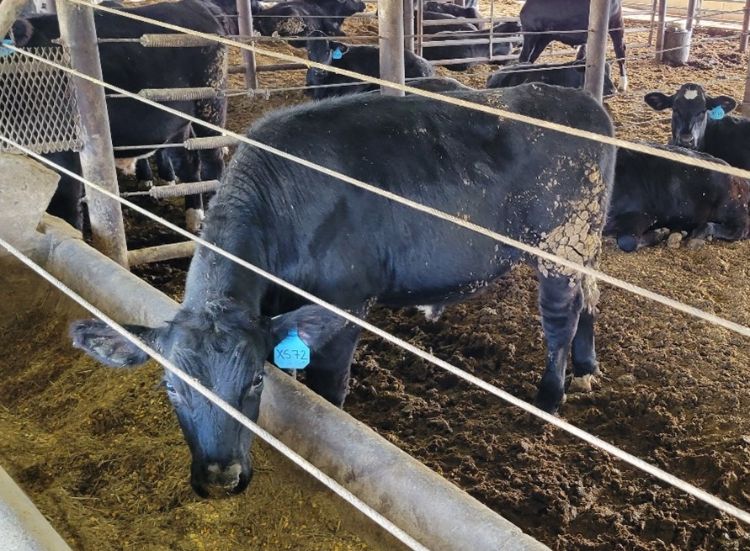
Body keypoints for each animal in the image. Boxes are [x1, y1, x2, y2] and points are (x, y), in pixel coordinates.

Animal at [8, 0, 228, 232]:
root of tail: (198, 6)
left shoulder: (62, 155)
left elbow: (65, 212)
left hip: (211, 105)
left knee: (212, 163)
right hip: (177, 123)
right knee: (187, 162)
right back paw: (193, 217)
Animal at [70, 83, 615, 497]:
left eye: (254, 382)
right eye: (171, 387)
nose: (221, 478)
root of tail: (580, 100)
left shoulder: (344, 303)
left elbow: (328, 389)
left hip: (562, 244)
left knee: (561, 315)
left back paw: (548, 399)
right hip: (584, 245)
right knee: (591, 296)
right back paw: (587, 369)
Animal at [605, 144, 750, 251]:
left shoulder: (643, 215)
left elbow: (627, 241)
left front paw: (660, 233)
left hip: (731, 206)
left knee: (740, 229)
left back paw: (698, 234)